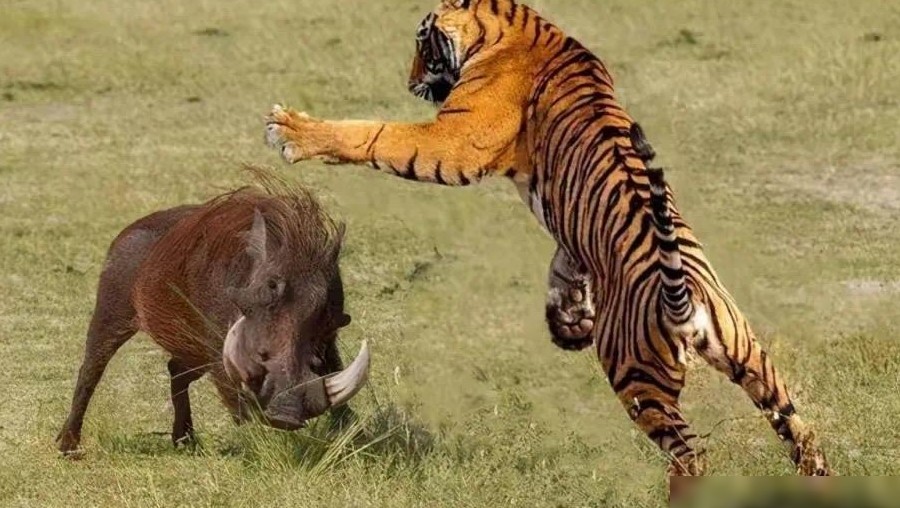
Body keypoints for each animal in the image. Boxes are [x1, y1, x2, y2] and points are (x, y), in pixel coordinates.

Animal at [263, 0, 831, 477]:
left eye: (423, 46)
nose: (409, 82)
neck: (516, 24)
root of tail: (682, 301)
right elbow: (564, 264)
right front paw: (568, 317)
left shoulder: (452, 143)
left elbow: (374, 135)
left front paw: (290, 131)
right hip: (751, 357)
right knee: (798, 427)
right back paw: (817, 475)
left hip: (638, 380)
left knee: (693, 455)